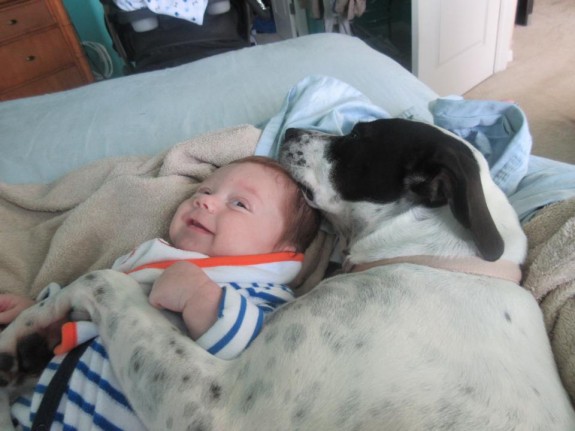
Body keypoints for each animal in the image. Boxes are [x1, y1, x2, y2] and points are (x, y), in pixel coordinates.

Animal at [0, 118, 574, 430]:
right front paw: (27, 329)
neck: (431, 257)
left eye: (358, 135)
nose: (293, 128)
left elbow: (108, 280)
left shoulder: (213, 406)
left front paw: (26, 333)